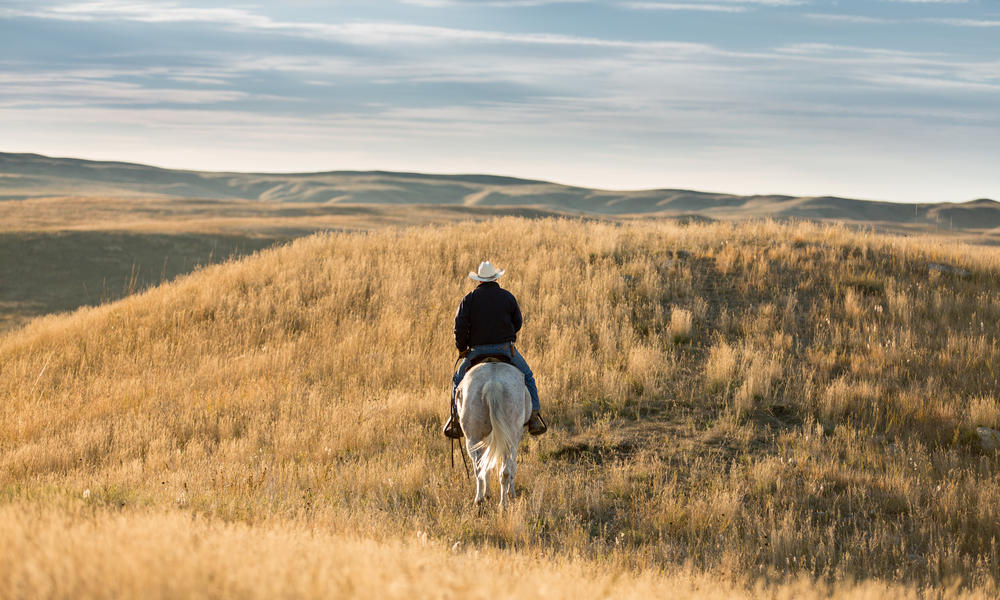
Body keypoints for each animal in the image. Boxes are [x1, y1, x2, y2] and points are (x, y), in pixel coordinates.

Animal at [456, 358, 532, 508]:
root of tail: (492, 384)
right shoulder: (516, 438)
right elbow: (512, 466)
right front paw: (511, 493)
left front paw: (488, 494)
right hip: (509, 439)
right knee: (505, 471)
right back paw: (503, 504)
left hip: (473, 438)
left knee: (479, 468)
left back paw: (479, 499)